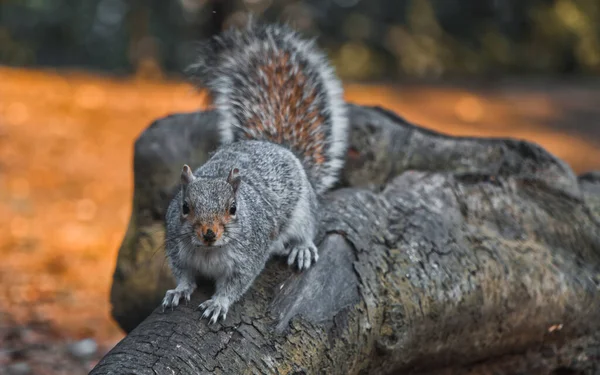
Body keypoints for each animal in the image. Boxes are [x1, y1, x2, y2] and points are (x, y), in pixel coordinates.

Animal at [162, 22, 350, 324]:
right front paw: (178, 291)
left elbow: (234, 286)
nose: (209, 233)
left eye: (233, 208)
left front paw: (219, 304)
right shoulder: (177, 250)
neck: (208, 252)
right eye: (185, 207)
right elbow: (184, 276)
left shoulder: (247, 259)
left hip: (303, 211)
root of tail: (273, 145)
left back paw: (301, 248)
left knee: (307, 229)